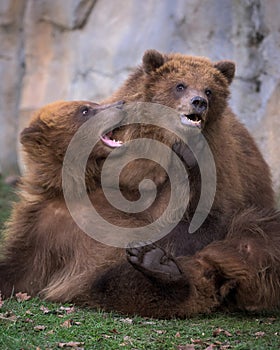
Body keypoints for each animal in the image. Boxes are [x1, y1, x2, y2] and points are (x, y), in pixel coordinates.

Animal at [0, 50, 278, 318]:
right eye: (85, 110)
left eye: (209, 89)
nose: (120, 104)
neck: (78, 185)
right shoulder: (41, 226)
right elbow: (19, 269)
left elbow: (172, 217)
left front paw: (189, 157)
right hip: (98, 280)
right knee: (119, 284)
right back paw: (162, 269)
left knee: (254, 234)